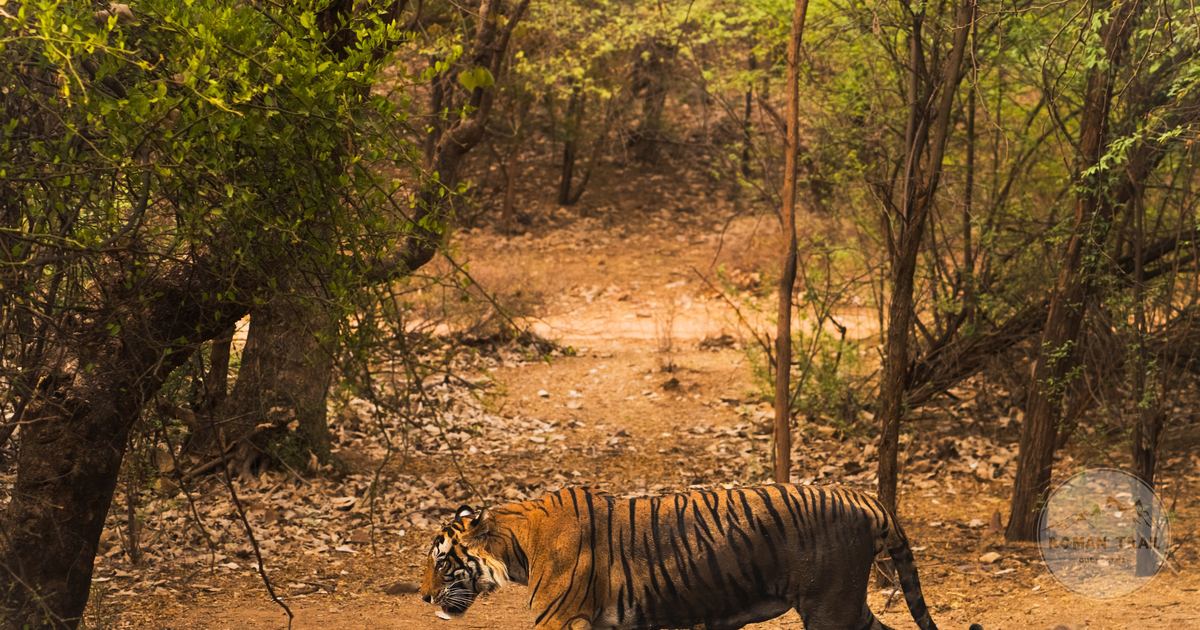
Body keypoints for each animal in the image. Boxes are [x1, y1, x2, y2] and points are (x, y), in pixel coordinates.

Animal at [419, 484, 982, 630]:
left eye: (443, 562)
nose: (424, 598)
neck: (517, 547)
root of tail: (866, 499)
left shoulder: (555, 620)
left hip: (829, 611)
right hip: (846, 607)